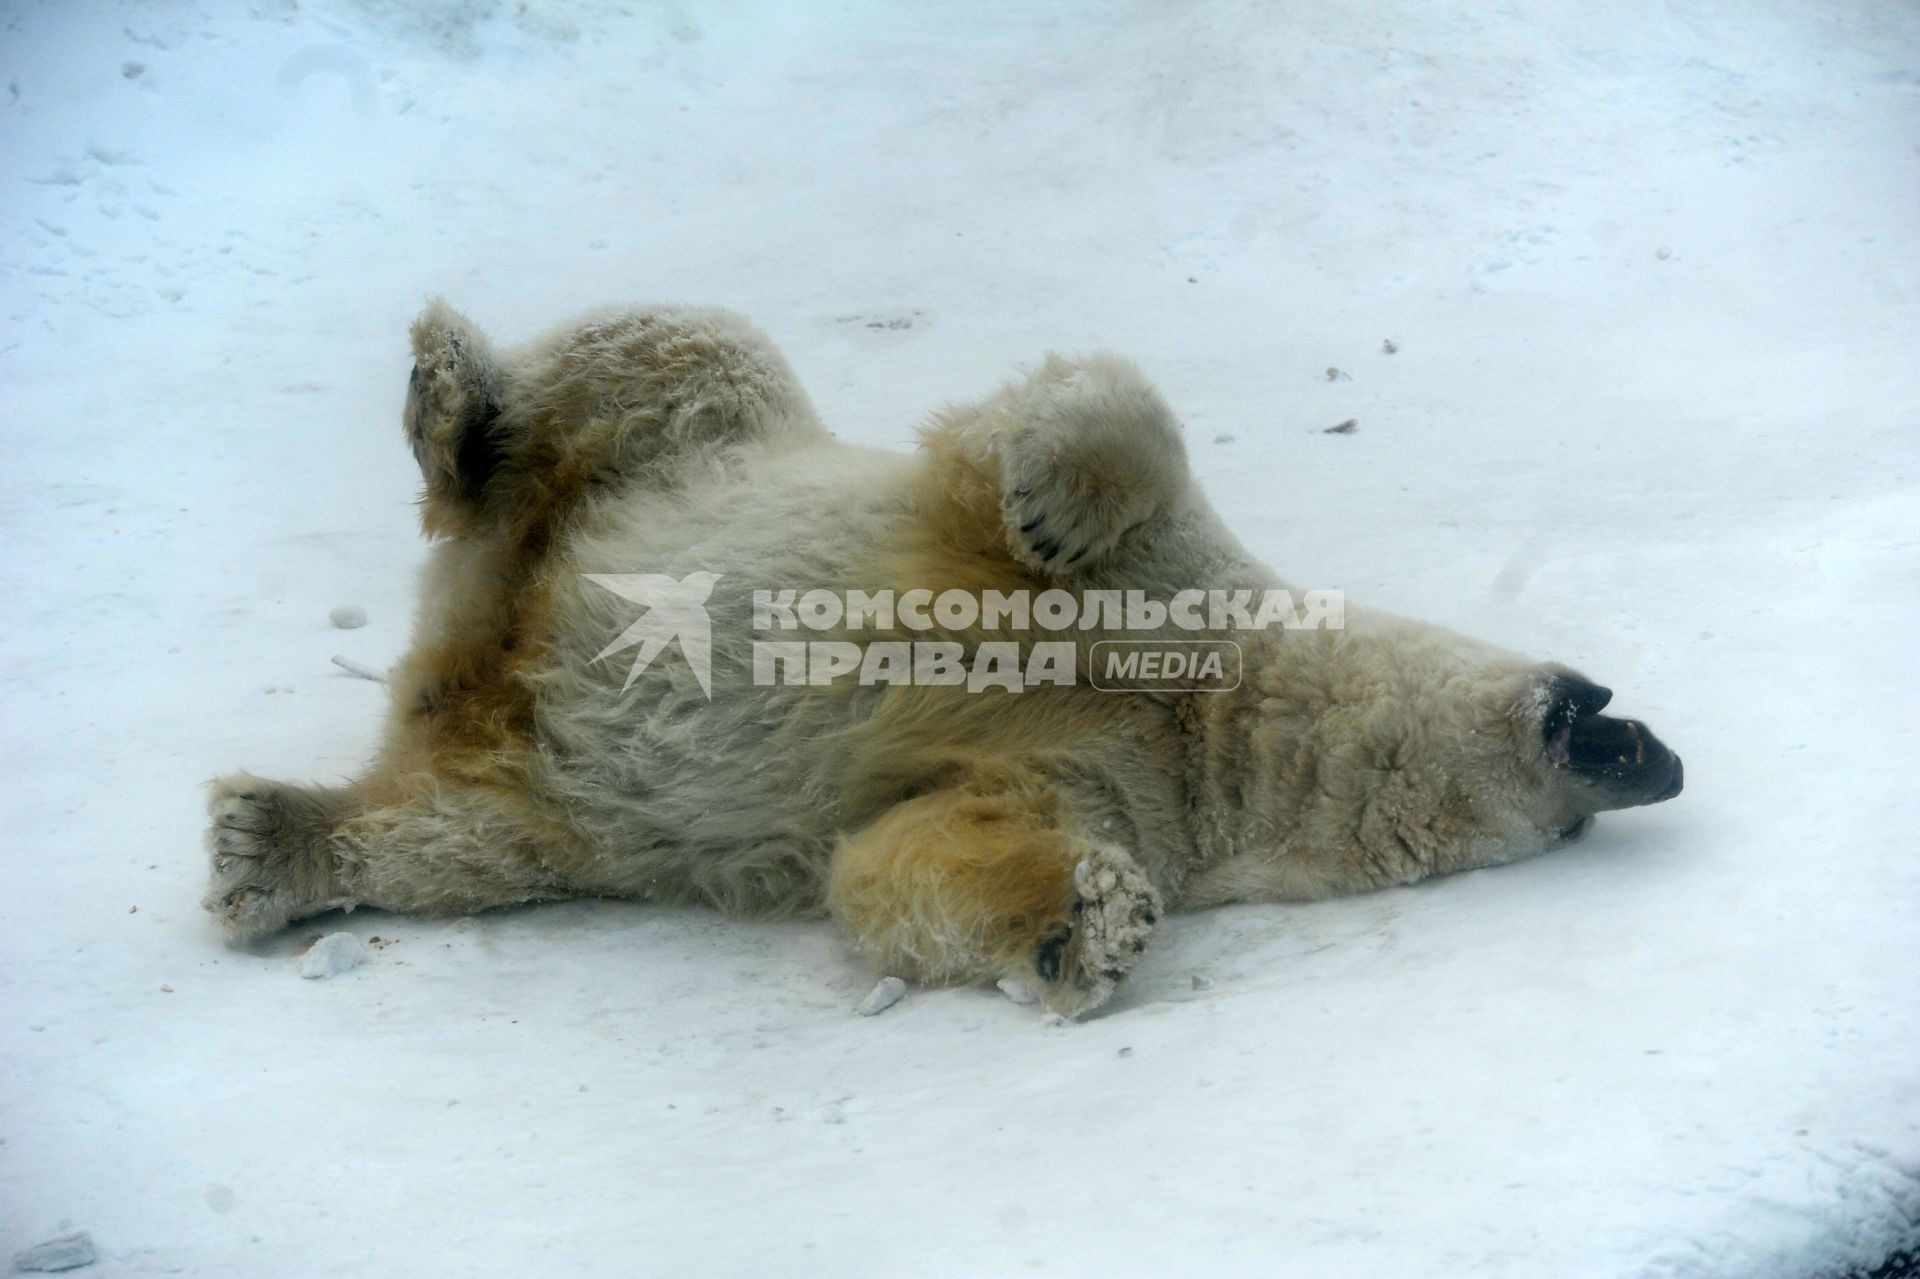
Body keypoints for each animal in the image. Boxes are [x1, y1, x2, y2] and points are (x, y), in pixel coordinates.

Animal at [206, 301, 1681, 1013]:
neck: (1213, 706)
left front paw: (1086, 923)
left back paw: (266, 846)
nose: (1658, 754)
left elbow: (911, 855)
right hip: (661, 466)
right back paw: (449, 393)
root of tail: (463, 646)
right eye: (1607, 720)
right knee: (671, 354)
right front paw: (1052, 497)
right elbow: (1068, 441)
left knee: (458, 835)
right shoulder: (1170, 580)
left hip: (546, 796)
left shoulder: (1125, 782)